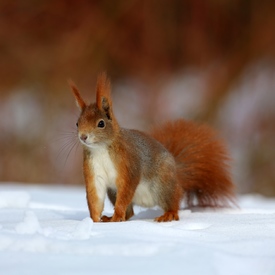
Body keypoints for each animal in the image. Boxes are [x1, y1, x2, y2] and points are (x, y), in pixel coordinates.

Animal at [70, 73, 236, 222]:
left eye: (101, 123)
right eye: (77, 123)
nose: (83, 137)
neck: (101, 148)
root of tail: (176, 176)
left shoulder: (129, 167)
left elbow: (125, 193)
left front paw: (116, 215)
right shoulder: (94, 172)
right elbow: (95, 198)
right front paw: (94, 221)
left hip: (162, 184)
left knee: (173, 203)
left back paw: (168, 215)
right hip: (113, 191)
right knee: (130, 212)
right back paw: (111, 218)